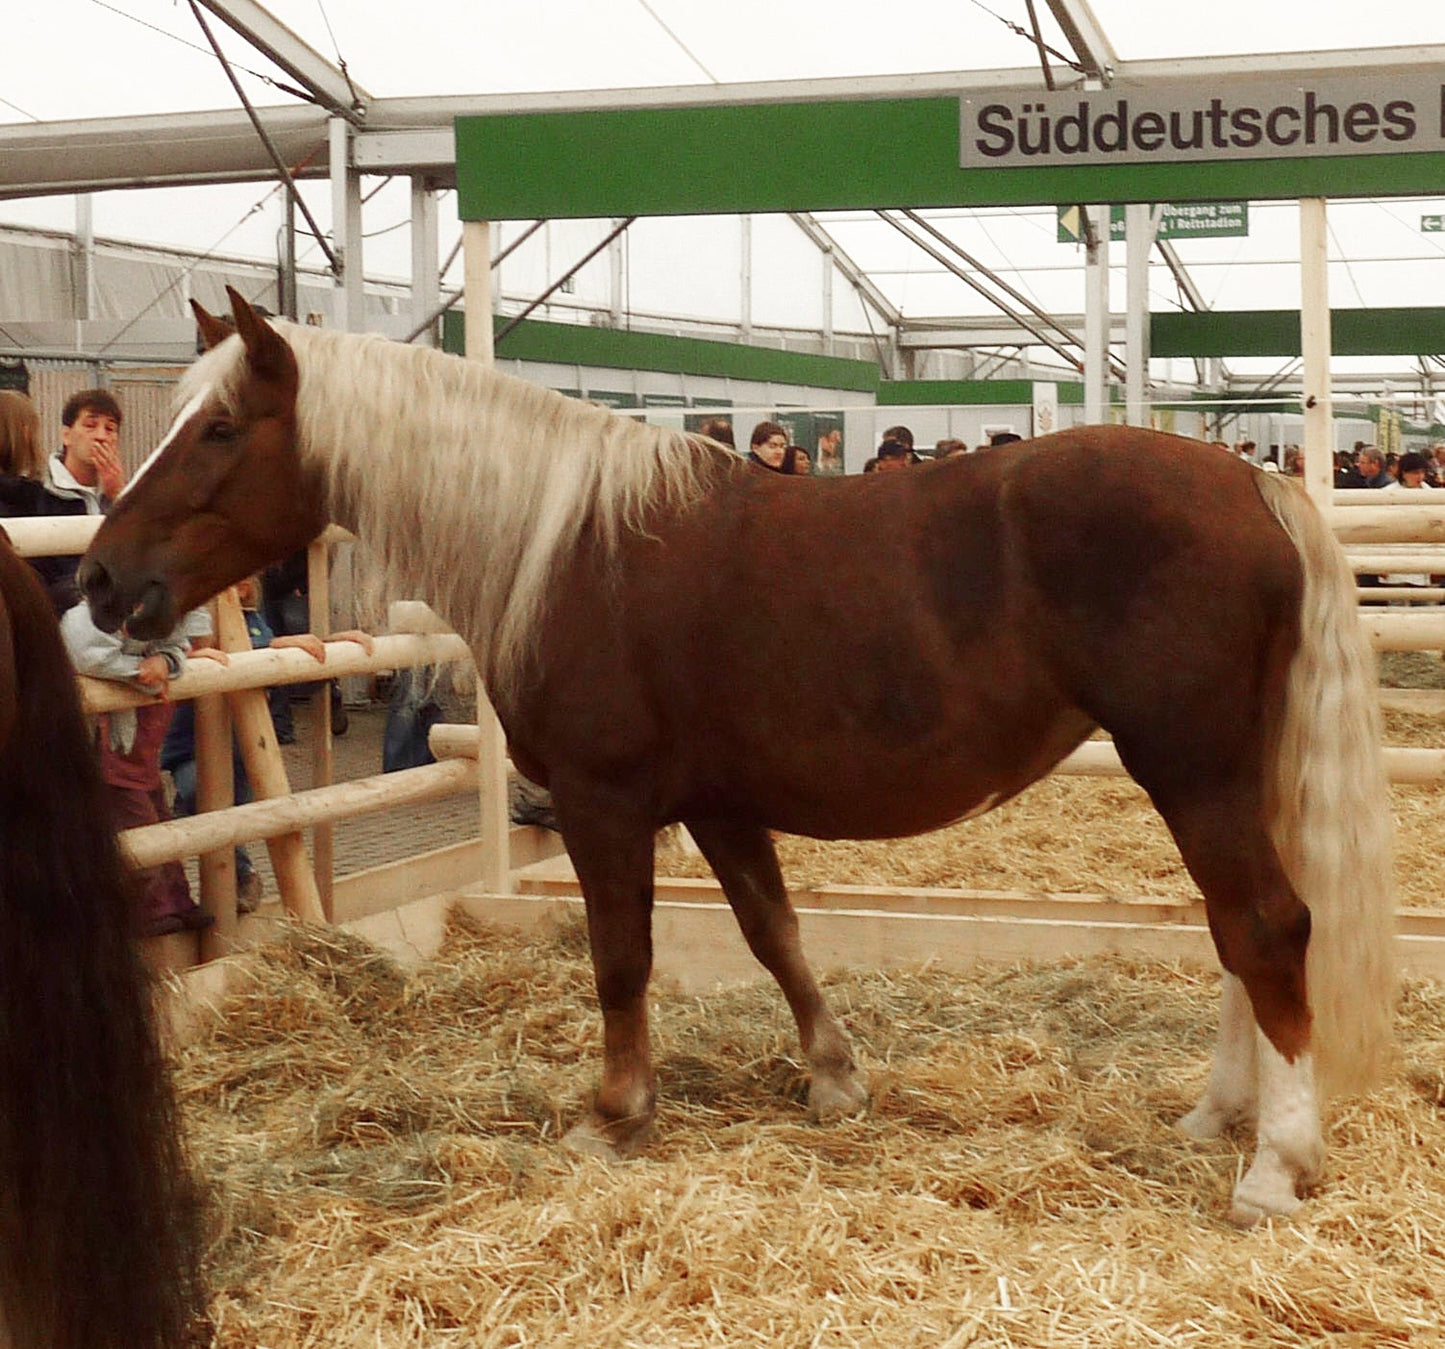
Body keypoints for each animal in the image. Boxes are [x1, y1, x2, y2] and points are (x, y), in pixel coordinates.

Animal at [78, 289, 1394, 1227]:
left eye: (221, 427)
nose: (100, 580)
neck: (565, 540)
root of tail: (1251, 482)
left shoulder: (607, 803)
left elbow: (621, 960)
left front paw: (615, 1112)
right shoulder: (718, 803)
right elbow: (775, 932)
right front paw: (835, 1079)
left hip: (1191, 769)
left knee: (1264, 928)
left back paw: (1273, 1162)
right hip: (1219, 774)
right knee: (1238, 940)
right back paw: (1219, 1113)